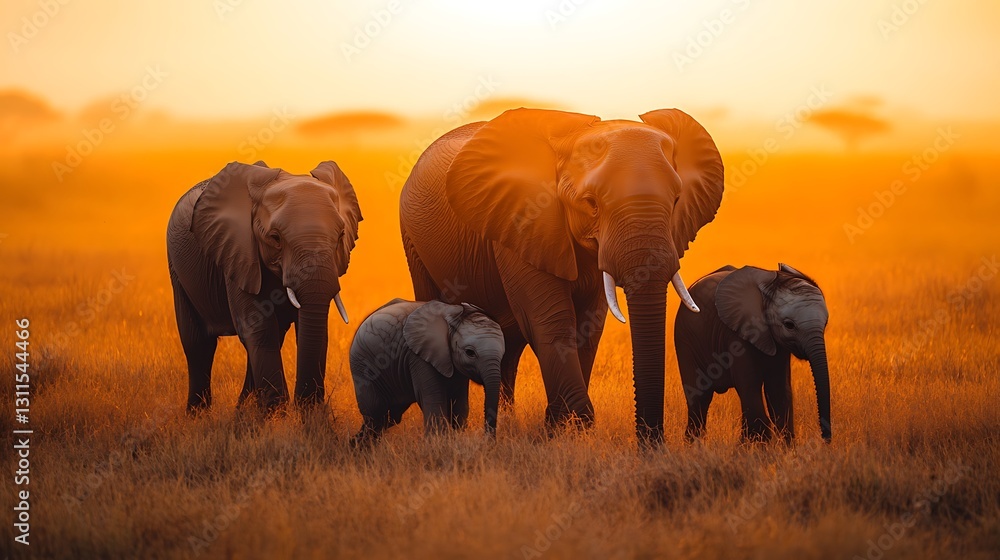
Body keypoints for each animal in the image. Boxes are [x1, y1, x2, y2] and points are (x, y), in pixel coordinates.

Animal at [166, 160, 362, 411]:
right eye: (275, 238)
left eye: (341, 236)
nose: (302, 401)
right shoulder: (237, 253)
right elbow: (256, 328)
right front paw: (276, 411)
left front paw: (304, 411)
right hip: (177, 270)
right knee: (198, 344)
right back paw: (198, 415)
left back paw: (242, 410)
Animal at [348, 299, 505, 447]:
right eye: (470, 353)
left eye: (503, 354)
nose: (489, 443)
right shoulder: (419, 357)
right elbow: (434, 400)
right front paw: (437, 445)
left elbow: (459, 404)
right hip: (363, 368)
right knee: (376, 415)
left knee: (390, 417)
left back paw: (354, 445)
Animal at [399, 108, 724, 446]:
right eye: (591, 204)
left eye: (676, 201)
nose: (652, 444)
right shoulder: (524, 221)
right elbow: (551, 322)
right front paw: (574, 428)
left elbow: (589, 327)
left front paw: (556, 429)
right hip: (413, 240)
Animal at [673, 264, 831, 443]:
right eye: (789, 325)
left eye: (826, 323)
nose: (825, 439)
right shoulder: (737, 336)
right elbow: (750, 386)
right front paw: (759, 446)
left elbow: (779, 390)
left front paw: (784, 447)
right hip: (685, 338)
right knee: (700, 396)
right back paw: (693, 444)